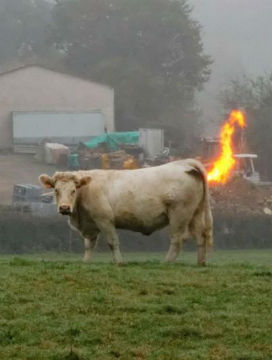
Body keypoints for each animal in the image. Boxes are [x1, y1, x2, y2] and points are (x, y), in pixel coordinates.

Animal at [39, 160, 212, 264]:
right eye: (56, 190)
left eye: (73, 190)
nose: (64, 208)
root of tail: (184, 164)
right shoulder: (90, 225)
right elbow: (89, 245)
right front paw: (86, 262)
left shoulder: (105, 220)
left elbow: (112, 242)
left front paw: (119, 262)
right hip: (195, 214)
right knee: (201, 236)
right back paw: (200, 263)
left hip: (179, 214)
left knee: (177, 240)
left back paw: (166, 262)